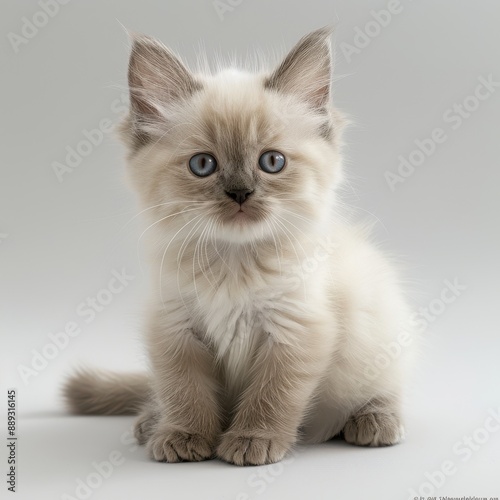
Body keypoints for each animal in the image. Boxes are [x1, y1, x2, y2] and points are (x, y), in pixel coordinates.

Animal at [63, 27, 414, 464]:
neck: (234, 263)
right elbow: (185, 392)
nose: (241, 193)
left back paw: (373, 421)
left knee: (385, 389)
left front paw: (252, 440)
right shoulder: (176, 327)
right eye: (202, 165)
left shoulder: (295, 329)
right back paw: (151, 422)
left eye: (272, 162)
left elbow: (271, 396)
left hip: (380, 333)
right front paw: (184, 436)